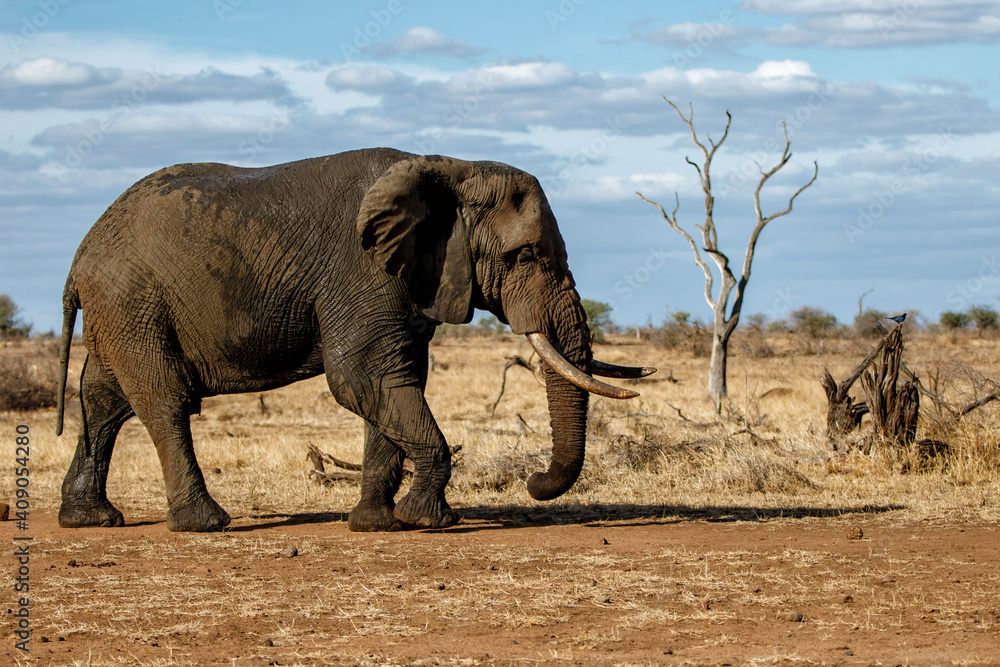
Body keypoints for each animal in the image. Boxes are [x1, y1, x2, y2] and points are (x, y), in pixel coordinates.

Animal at [54, 147, 654, 532]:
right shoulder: (362, 269)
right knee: (164, 399)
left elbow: (394, 381)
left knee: (102, 399)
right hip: (132, 301)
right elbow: (361, 377)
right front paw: (429, 520)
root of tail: (79, 256)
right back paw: (205, 524)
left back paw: (89, 519)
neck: (452, 167)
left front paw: (376, 525)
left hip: (120, 310)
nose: (533, 480)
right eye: (524, 255)